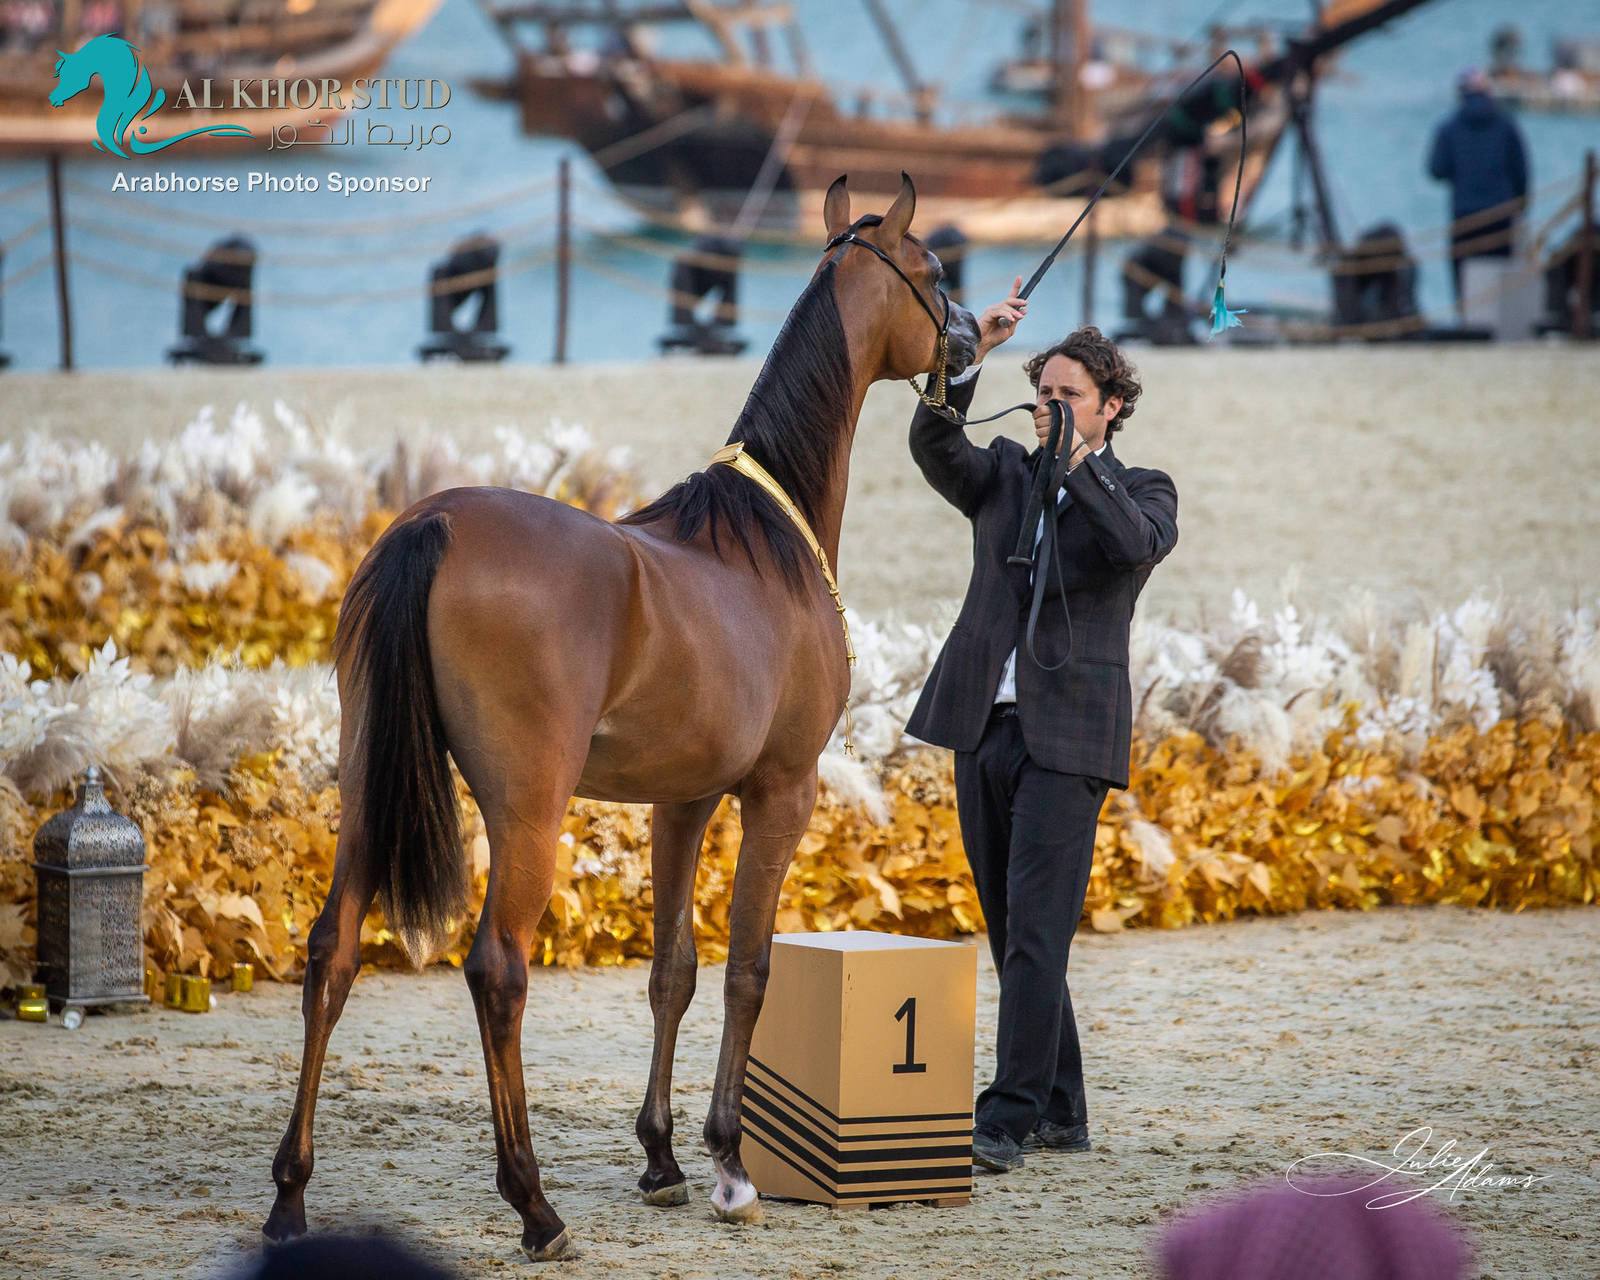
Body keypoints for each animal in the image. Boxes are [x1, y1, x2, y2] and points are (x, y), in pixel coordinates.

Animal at [261, 173, 981, 1260]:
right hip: (528, 806)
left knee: (330, 951)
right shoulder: (781, 790)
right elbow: (749, 967)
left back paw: (292, 1196)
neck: (764, 543)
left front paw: (662, 1158)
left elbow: (671, 968)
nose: (974, 338)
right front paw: (728, 1163)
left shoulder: (681, 802)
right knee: (498, 968)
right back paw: (534, 1205)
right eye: (933, 271)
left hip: (363, 785)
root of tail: (435, 523)